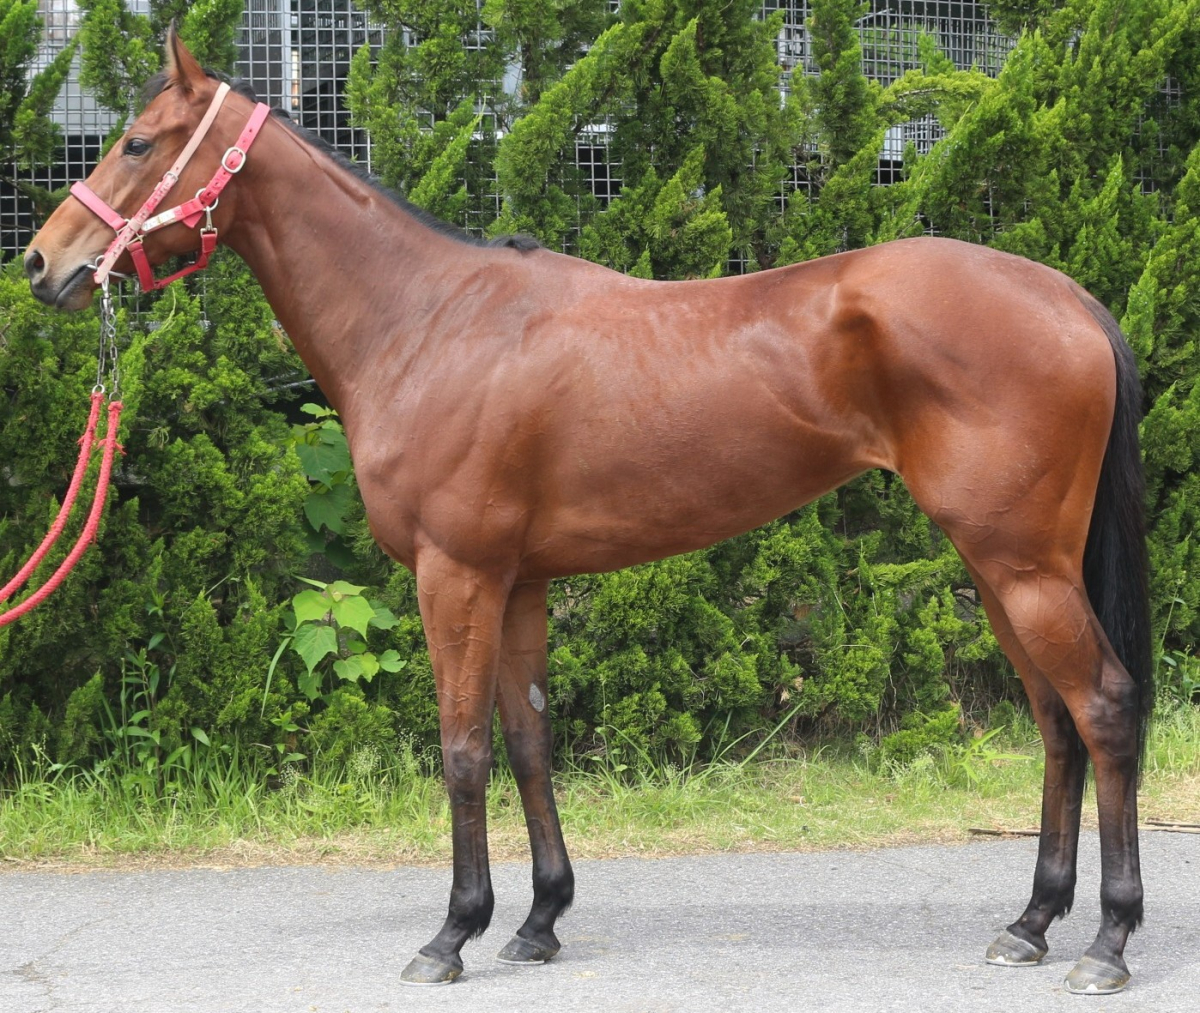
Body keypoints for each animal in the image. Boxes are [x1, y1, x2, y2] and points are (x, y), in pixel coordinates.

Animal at [23, 30, 1150, 994]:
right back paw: (1030, 924)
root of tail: (1070, 299)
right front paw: (537, 921)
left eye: (137, 141)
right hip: (999, 566)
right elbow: (529, 740)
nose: (41, 262)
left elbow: (462, 748)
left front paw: (451, 933)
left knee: (1102, 706)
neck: (425, 321)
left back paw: (1107, 939)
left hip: (1021, 565)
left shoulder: (457, 574)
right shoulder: (519, 582)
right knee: (1055, 720)